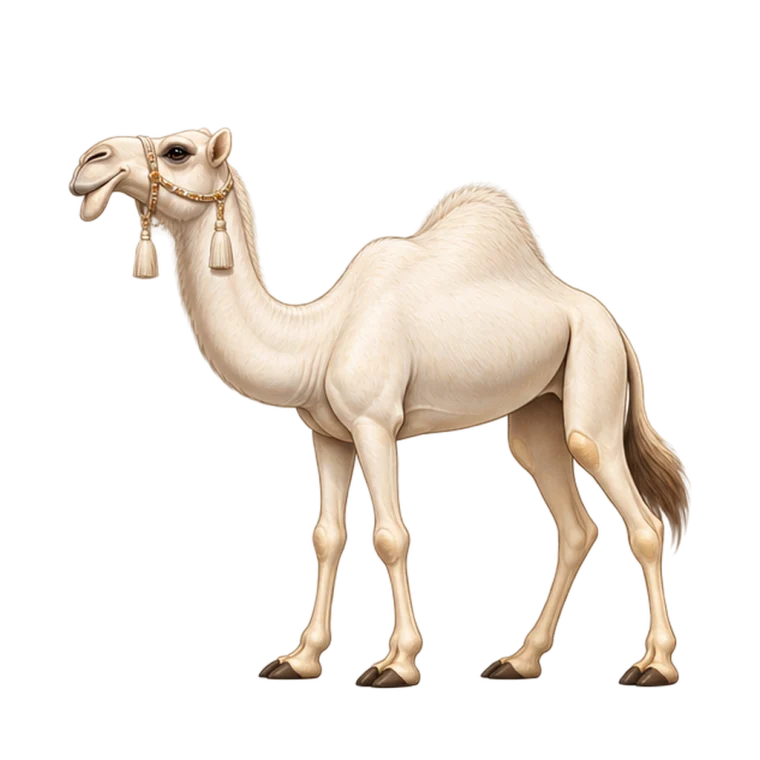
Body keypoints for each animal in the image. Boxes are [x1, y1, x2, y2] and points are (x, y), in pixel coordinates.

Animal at [70, 127, 691, 689]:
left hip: (593, 379)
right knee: (575, 525)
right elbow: (326, 536)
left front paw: (396, 664)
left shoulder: (375, 424)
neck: (315, 338)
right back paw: (517, 661)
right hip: (537, 414)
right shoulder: (329, 435)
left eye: (178, 150)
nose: (89, 164)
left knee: (640, 519)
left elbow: (391, 536)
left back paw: (654, 667)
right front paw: (298, 660)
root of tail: (610, 321)